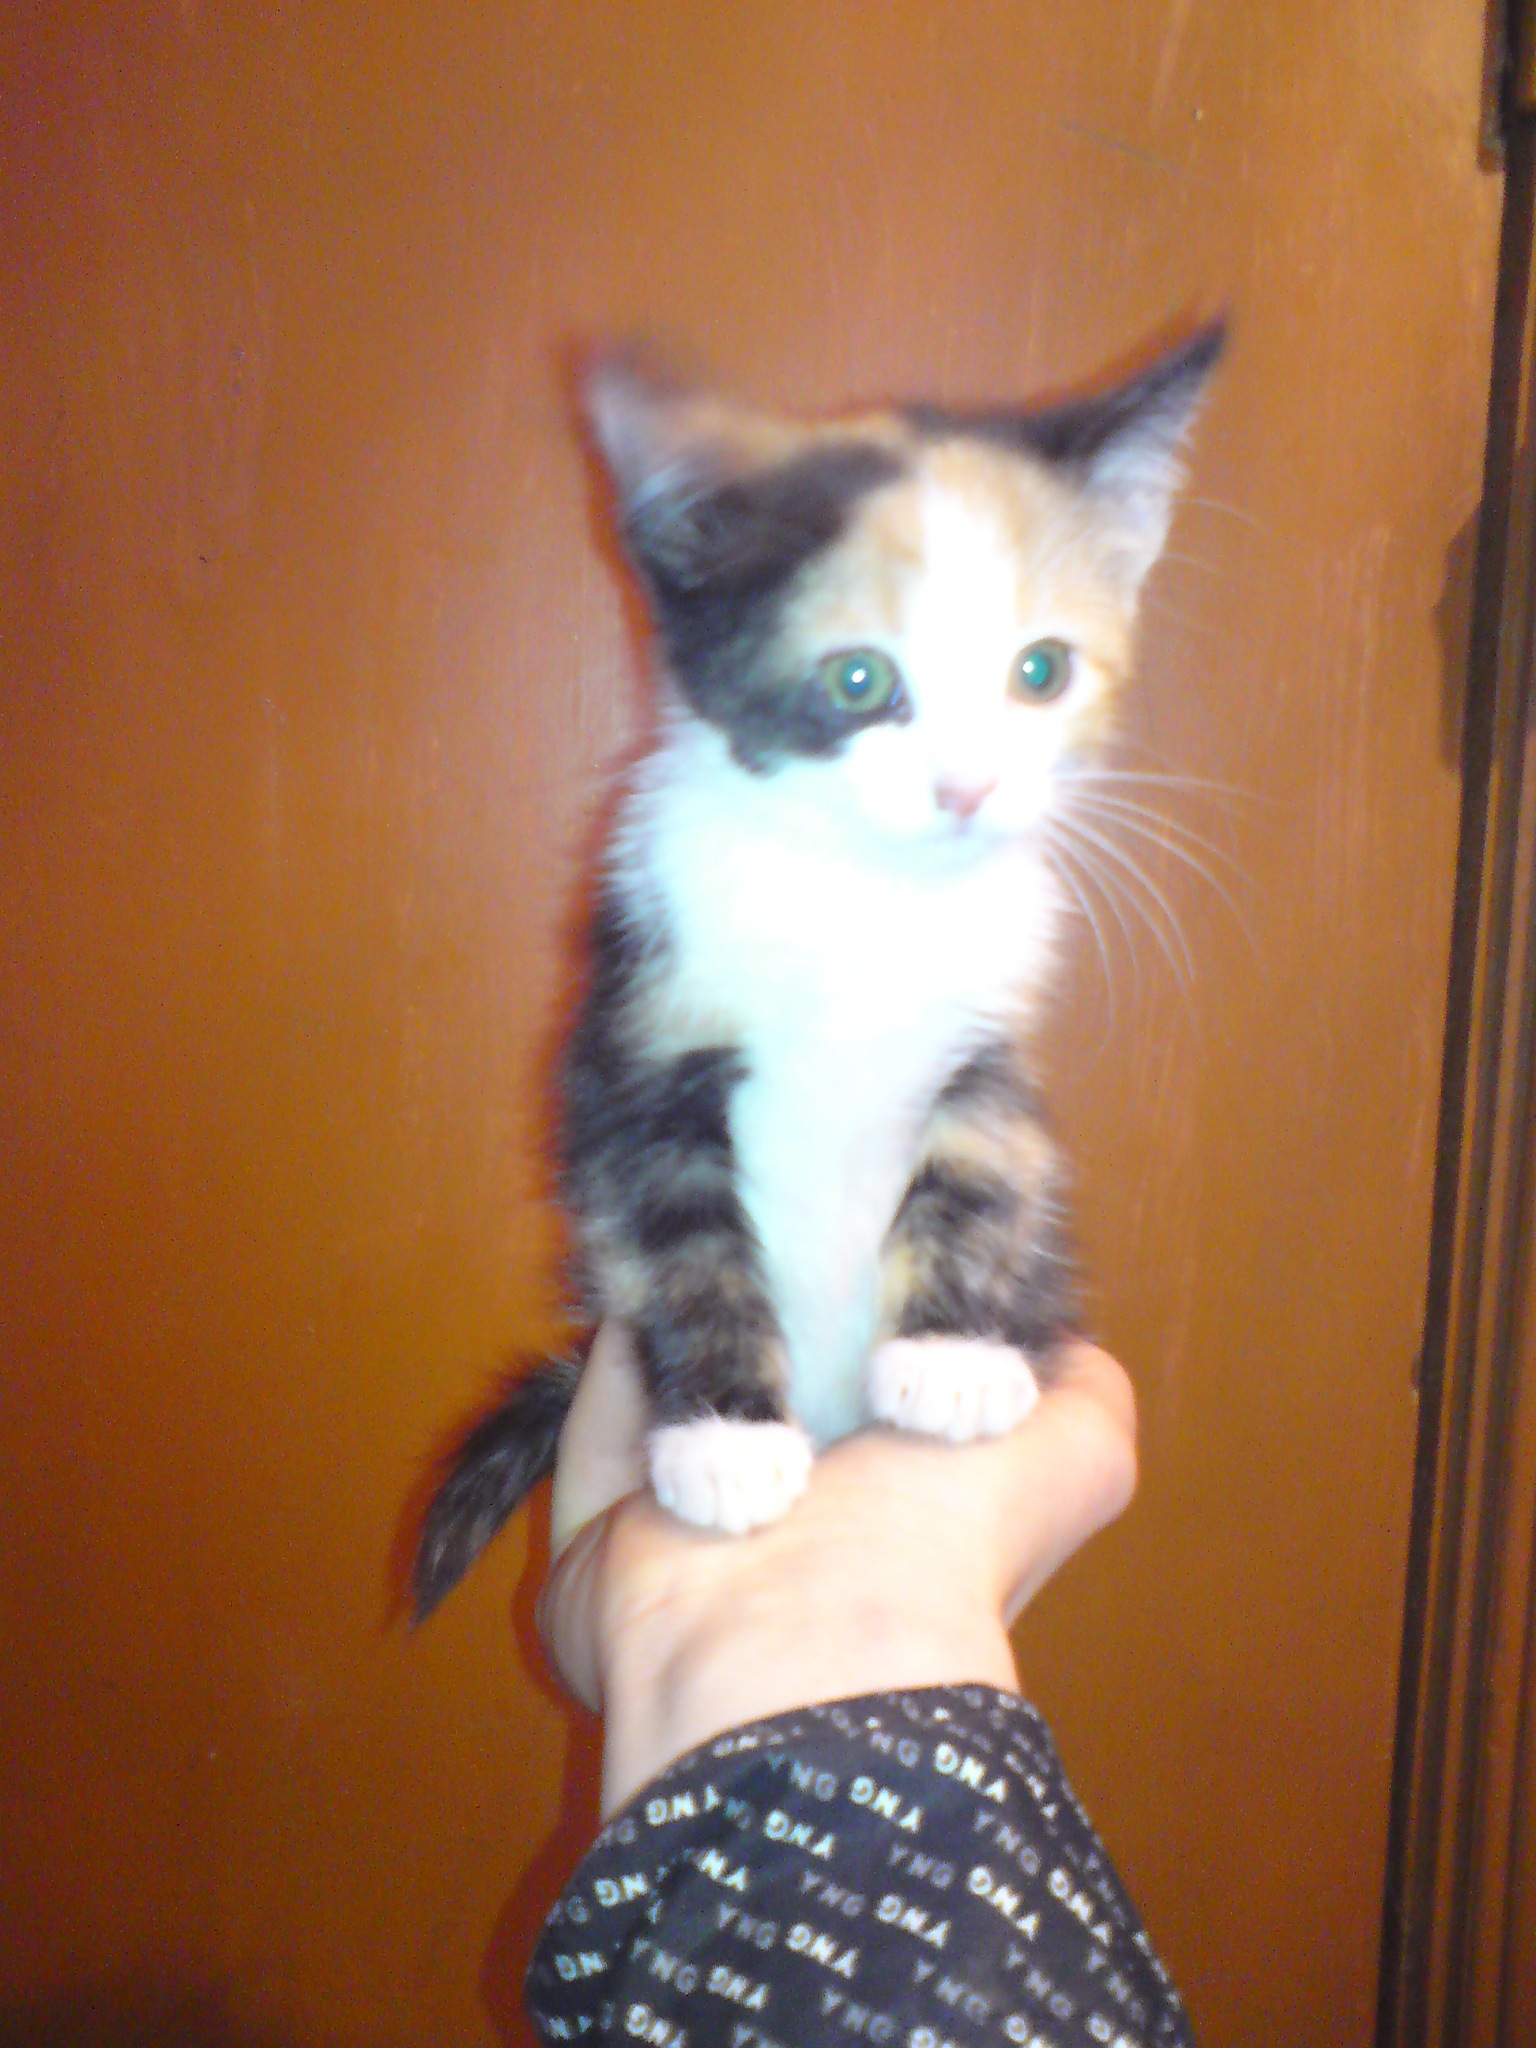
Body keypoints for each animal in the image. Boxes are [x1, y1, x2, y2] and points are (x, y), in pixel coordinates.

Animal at [411, 322, 1224, 1617]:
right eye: (857, 680)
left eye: (1041, 671)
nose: (967, 786)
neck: (864, 893)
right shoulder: (632, 1048)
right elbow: (679, 1237)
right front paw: (726, 1437)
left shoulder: (987, 1045)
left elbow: (985, 1171)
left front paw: (953, 1358)